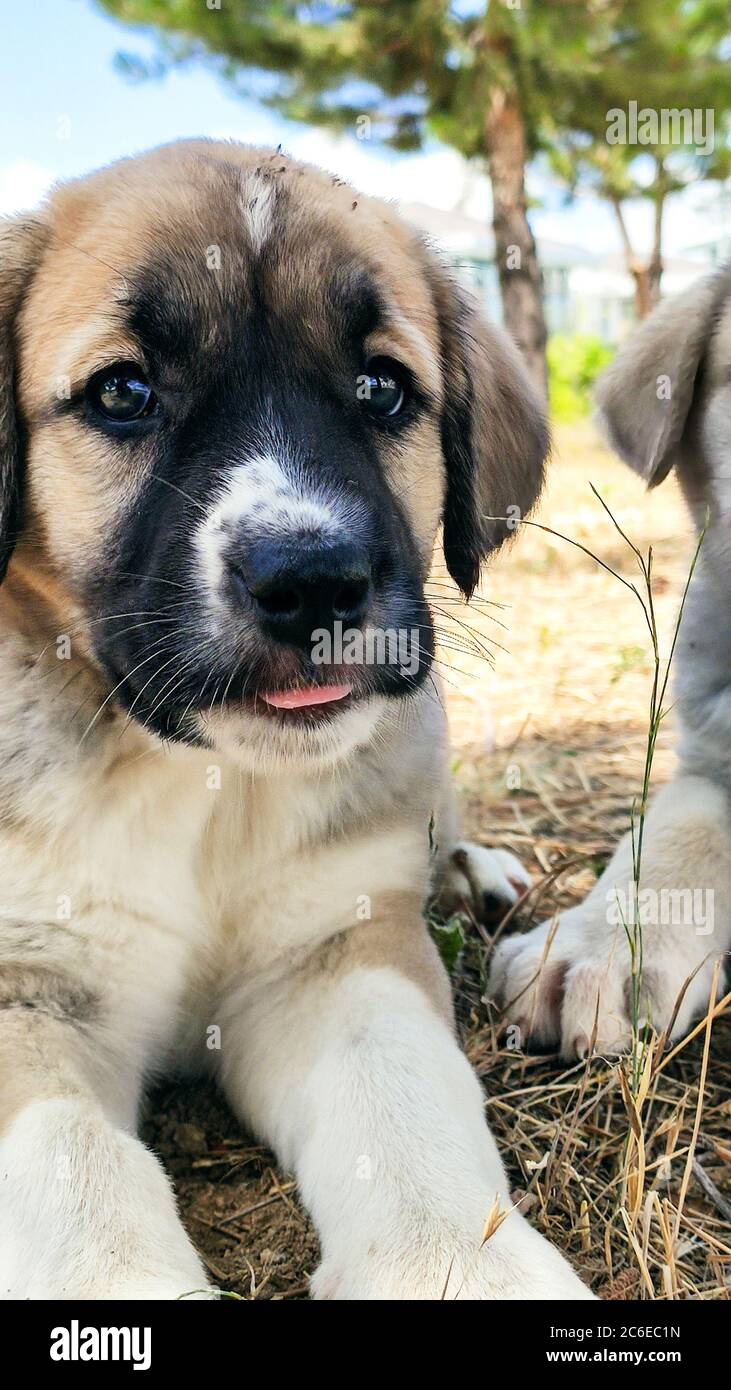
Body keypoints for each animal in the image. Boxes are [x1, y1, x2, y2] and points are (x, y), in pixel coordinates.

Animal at [0, 135, 589, 1295]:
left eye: (380, 387)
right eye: (124, 391)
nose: (313, 579)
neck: (198, 787)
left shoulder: (335, 950)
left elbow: (404, 1106)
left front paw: (462, 1265)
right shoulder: (22, 988)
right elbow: (73, 1167)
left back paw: (476, 871)